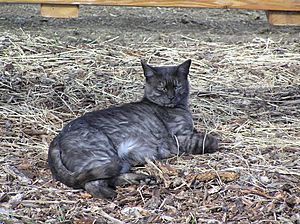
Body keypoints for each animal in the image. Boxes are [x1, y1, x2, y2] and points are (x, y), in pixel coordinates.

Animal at [48, 59, 218, 198]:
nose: (171, 97)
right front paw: (215, 142)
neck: (178, 108)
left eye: (177, 86)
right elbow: (209, 141)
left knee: (110, 178)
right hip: (104, 155)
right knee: (93, 183)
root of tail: (56, 140)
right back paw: (112, 193)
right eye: (162, 88)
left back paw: (142, 179)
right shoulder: (180, 137)